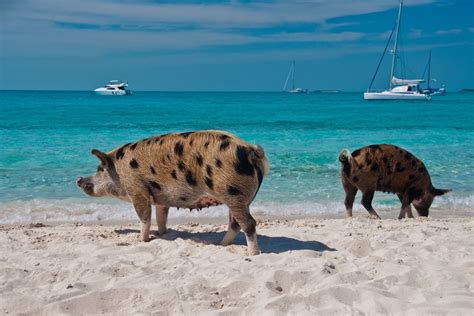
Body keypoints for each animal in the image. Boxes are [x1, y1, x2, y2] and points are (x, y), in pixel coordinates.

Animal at [78, 130, 270, 256]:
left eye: (100, 169)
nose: (79, 179)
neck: (120, 169)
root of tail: (252, 151)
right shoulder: (161, 198)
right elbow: (161, 216)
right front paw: (161, 234)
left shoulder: (137, 190)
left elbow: (144, 217)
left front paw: (141, 240)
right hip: (237, 198)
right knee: (235, 223)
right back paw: (221, 245)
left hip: (233, 193)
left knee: (249, 224)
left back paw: (252, 254)